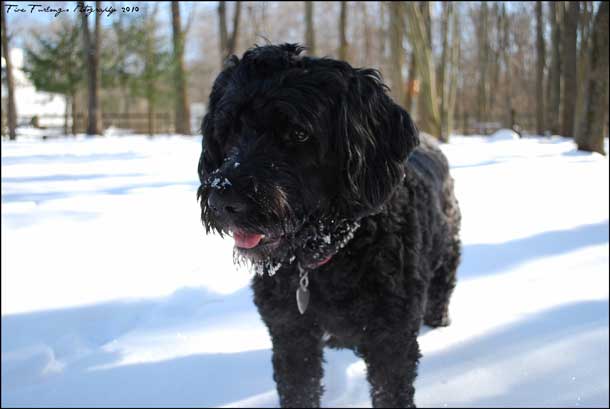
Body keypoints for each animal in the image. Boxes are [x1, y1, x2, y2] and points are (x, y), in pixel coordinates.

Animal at [197, 43, 458, 406]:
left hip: (448, 246)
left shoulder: (391, 342)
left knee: (444, 282)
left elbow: (392, 391)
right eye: (228, 130)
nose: (223, 200)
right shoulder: (291, 333)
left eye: (298, 132)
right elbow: (298, 390)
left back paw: (438, 319)